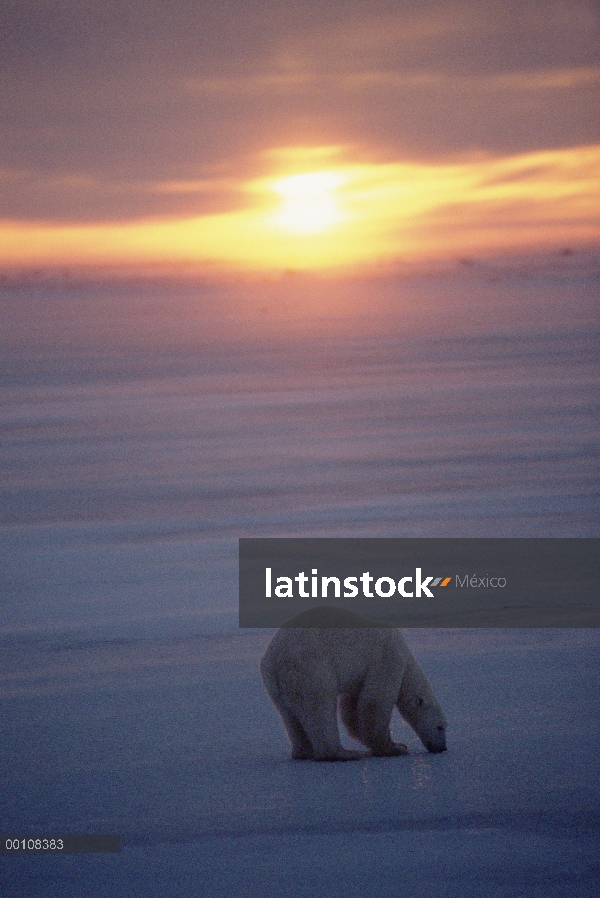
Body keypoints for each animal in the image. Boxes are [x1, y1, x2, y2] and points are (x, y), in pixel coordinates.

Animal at [260, 604, 448, 760]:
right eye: (440, 727)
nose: (442, 748)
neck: (406, 656)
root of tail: (274, 660)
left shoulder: (358, 677)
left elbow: (352, 709)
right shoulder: (386, 658)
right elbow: (375, 702)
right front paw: (395, 748)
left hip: (275, 685)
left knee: (289, 716)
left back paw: (303, 752)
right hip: (310, 668)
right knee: (320, 707)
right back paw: (344, 753)